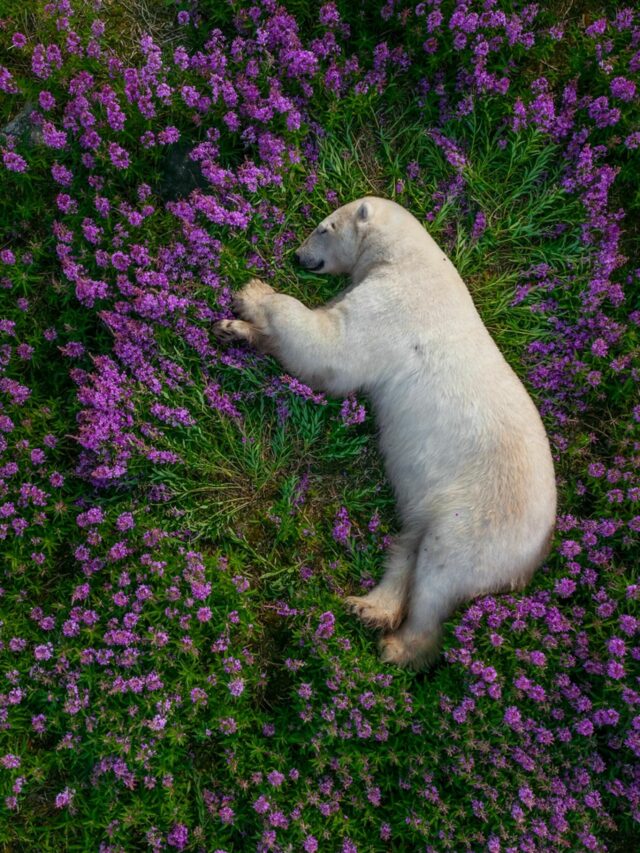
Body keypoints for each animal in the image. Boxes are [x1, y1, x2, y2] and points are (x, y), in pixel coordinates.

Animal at [214, 196, 556, 668]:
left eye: (323, 227)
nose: (297, 256)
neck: (409, 258)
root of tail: (536, 555)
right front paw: (234, 329)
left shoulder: (393, 307)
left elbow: (330, 346)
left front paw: (252, 293)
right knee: (409, 546)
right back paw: (367, 606)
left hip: (481, 520)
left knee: (439, 573)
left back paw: (398, 646)